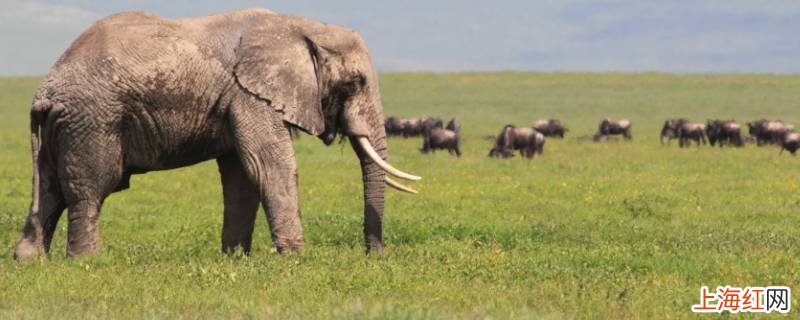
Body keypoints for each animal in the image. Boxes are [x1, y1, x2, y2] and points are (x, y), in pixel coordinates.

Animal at [14, 8, 418, 260]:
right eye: (354, 82)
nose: (375, 254)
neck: (301, 25)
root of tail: (44, 91)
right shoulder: (249, 95)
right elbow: (269, 165)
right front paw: (295, 258)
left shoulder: (236, 100)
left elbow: (241, 176)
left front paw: (236, 258)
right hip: (92, 121)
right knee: (90, 188)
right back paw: (88, 261)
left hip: (64, 127)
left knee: (50, 188)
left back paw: (30, 261)